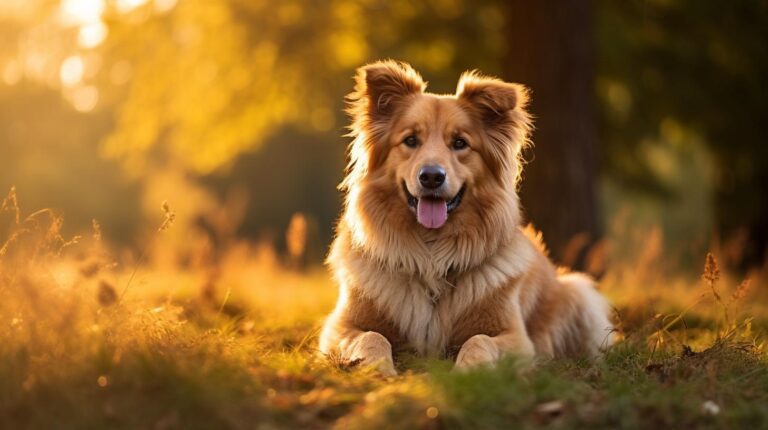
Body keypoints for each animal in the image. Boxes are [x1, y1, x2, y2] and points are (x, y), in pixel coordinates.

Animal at [318, 60, 612, 376]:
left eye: (460, 143)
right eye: (410, 140)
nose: (431, 176)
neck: (431, 256)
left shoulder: (515, 337)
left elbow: (478, 340)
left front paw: (469, 373)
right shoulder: (340, 327)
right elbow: (372, 336)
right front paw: (377, 369)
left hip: (578, 293)